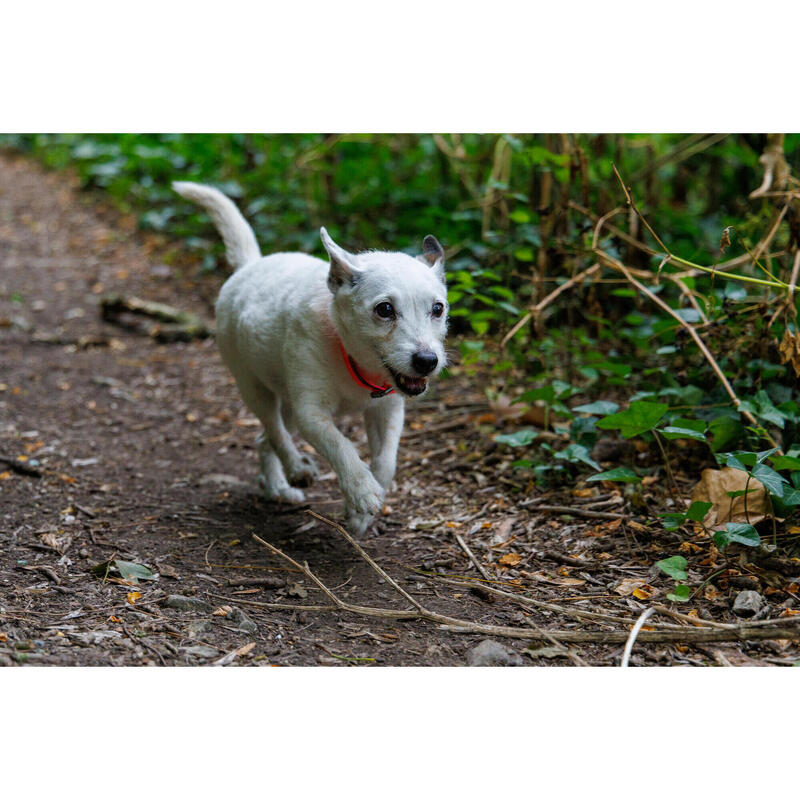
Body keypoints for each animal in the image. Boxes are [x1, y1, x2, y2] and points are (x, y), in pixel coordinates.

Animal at [172, 180, 446, 532]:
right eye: (384, 309)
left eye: (437, 309)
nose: (427, 361)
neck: (349, 354)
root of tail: (251, 265)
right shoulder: (312, 414)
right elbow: (341, 446)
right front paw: (361, 490)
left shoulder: (387, 411)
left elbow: (386, 462)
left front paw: (360, 512)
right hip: (254, 387)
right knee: (274, 431)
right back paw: (295, 470)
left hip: (287, 399)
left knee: (264, 439)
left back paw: (278, 486)